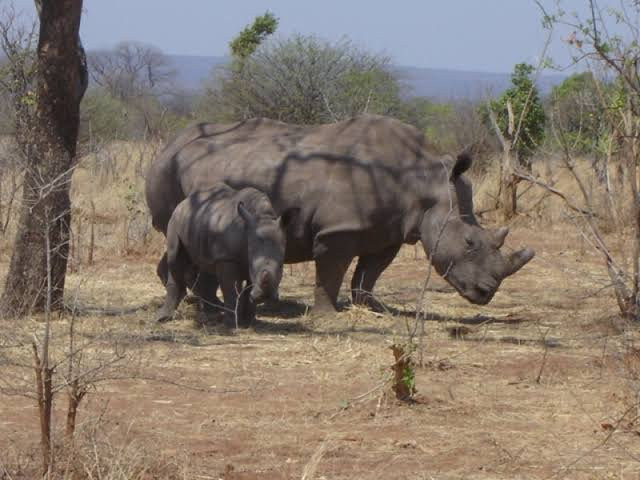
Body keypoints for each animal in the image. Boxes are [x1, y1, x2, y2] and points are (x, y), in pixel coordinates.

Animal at [154, 183, 298, 327]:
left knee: (205, 267)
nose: (265, 296)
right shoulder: (226, 257)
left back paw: (211, 314)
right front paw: (231, 324)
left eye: (281, 266)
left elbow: (247, 288)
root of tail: (185, 201)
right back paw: (163, 318)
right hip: (175, 220)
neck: (262, 216)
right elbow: (230, 289)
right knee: (175, 258)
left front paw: (248, 322)